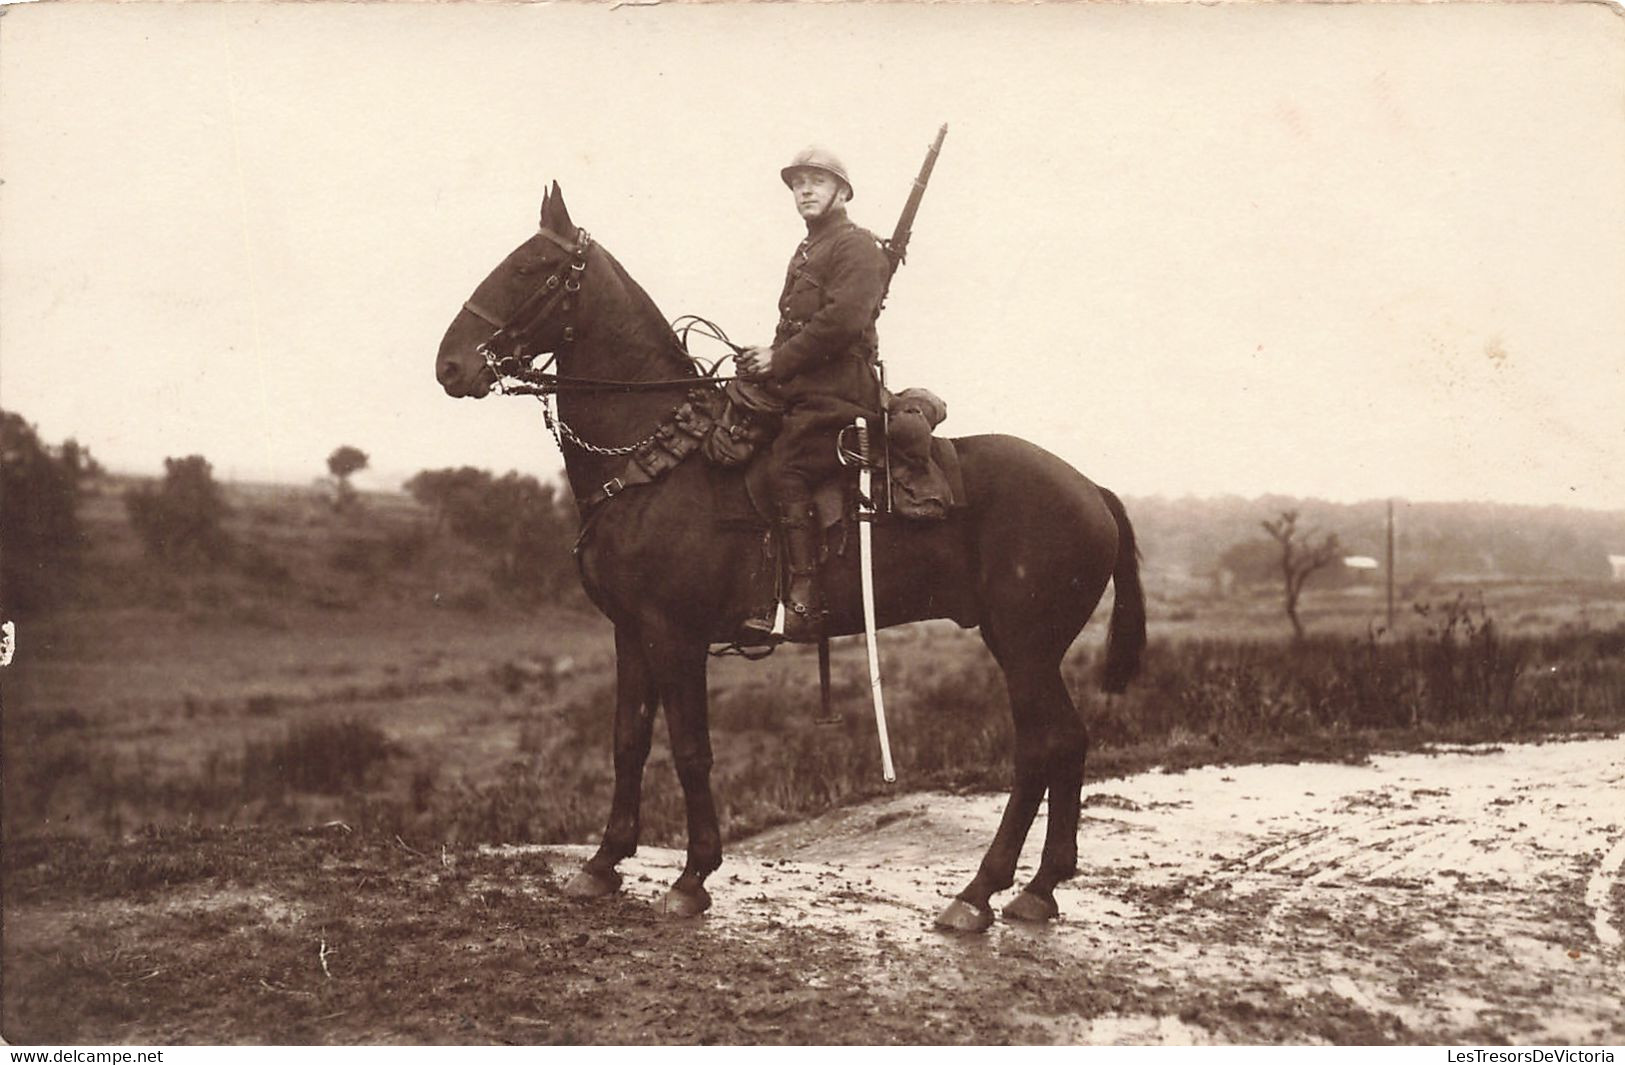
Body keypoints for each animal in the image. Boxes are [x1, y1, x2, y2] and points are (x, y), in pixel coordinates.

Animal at [432, 185, 1144, 936]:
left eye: (528, 267)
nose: (450, 366)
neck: (658, 459)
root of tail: (1090, 488)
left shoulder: (675, 637)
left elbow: (691, 750)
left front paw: (693, 876)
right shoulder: (631, 633)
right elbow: (628, 742)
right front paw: (602, 863)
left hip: (1024, 646)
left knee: (1042, 746)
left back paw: (979, 891)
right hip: (1027, 648)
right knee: (1066, 742)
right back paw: (1039, 887)